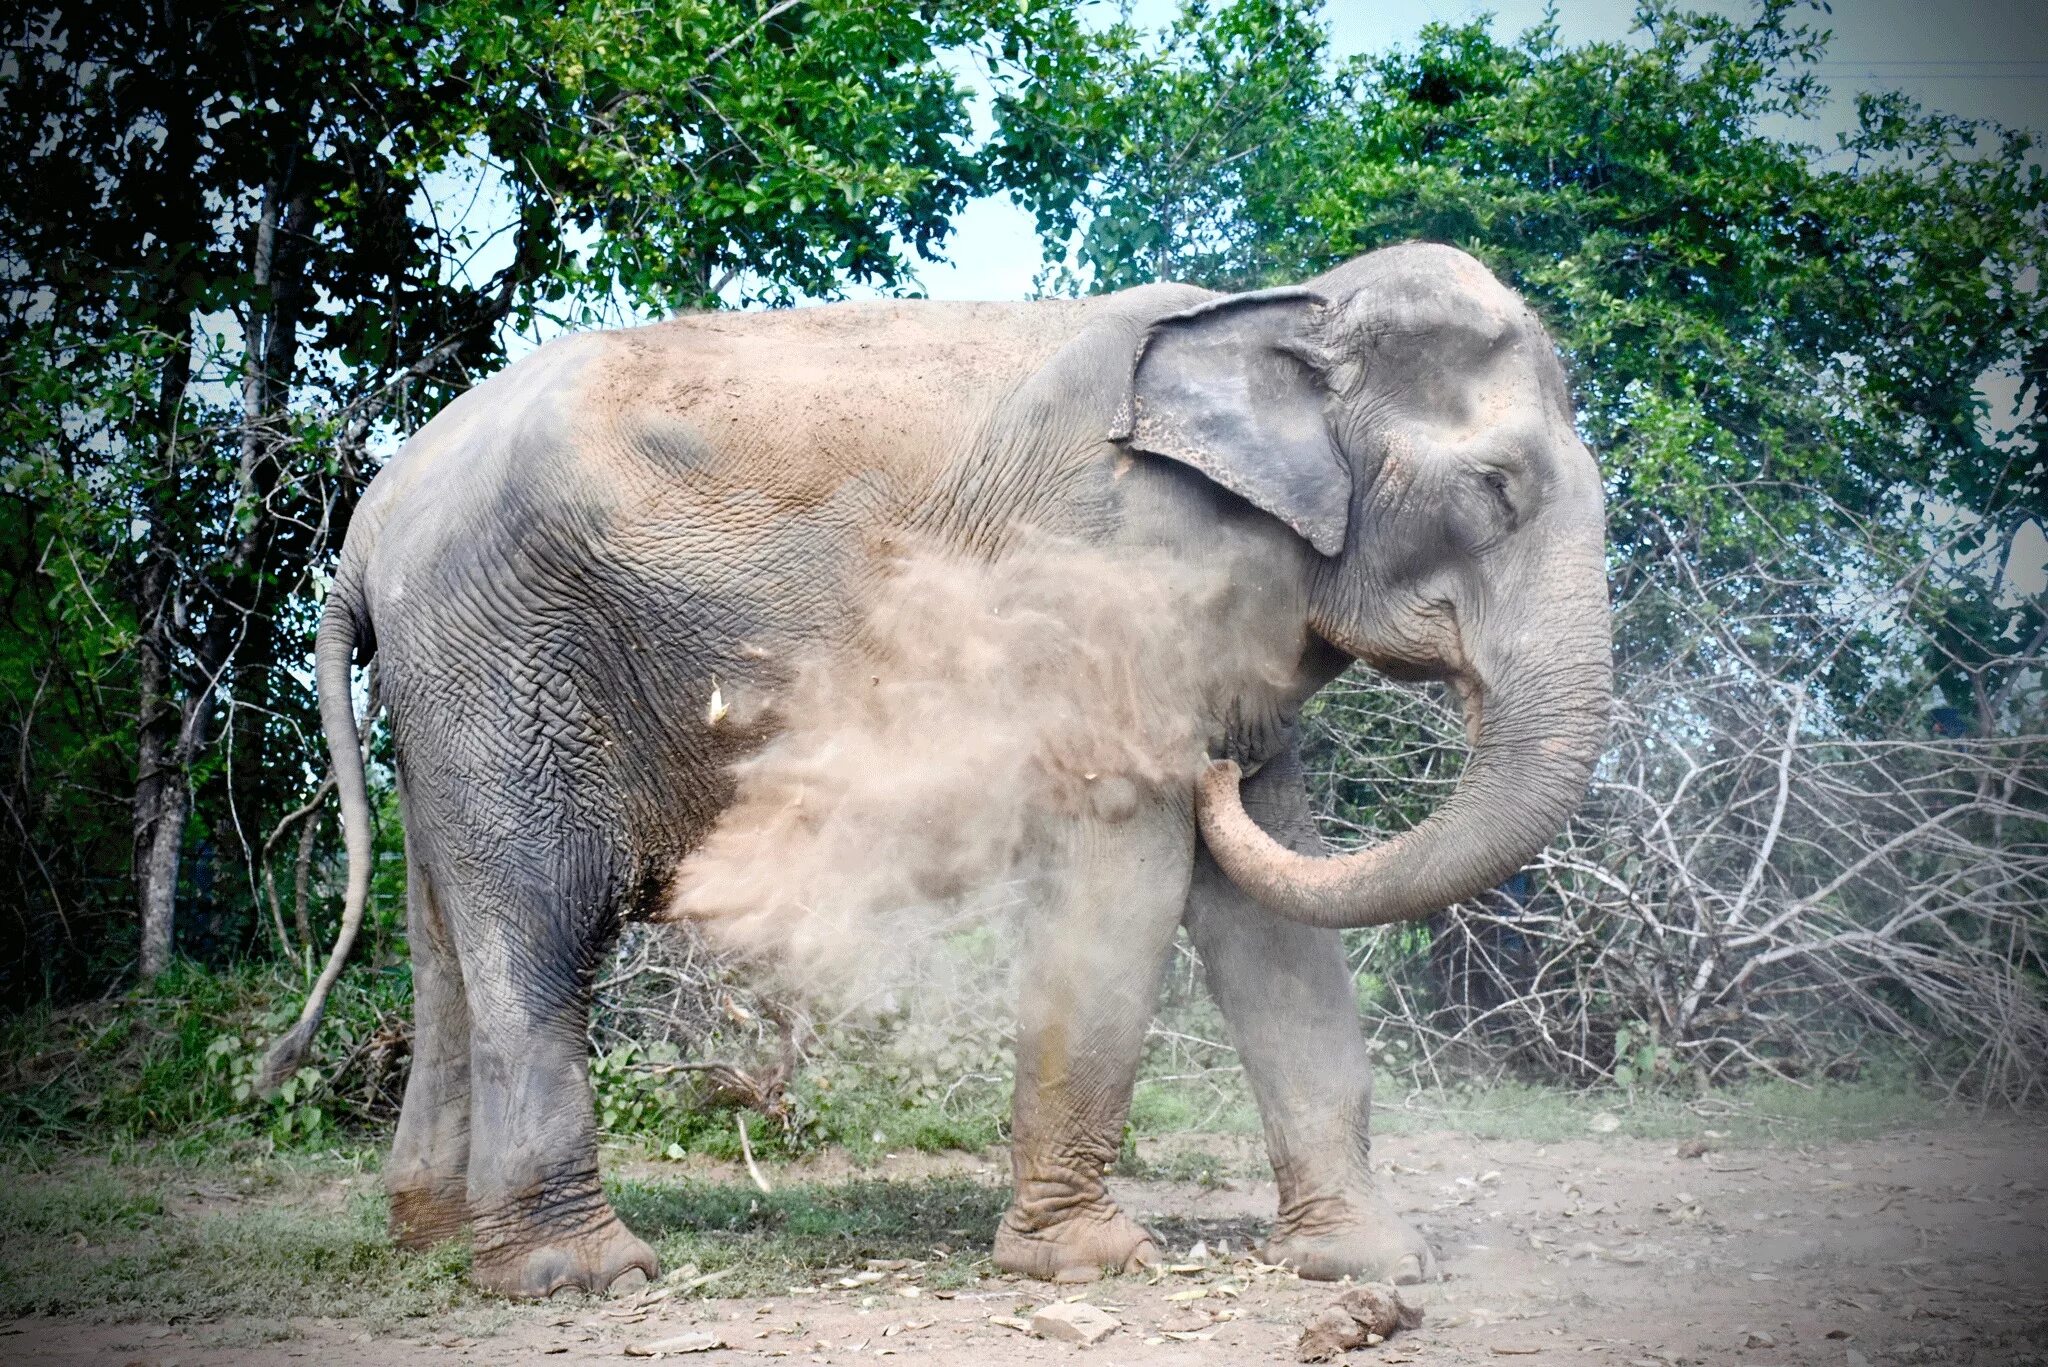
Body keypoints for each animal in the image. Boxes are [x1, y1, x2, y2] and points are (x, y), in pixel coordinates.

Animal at [268, 240, 1613, 1303]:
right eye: (1494, 490)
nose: (1214, 774)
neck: (1283, 305)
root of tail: (368, 524)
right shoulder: (1110, 573)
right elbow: (1123, 876)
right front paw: (1091, 1263)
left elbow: (1266, 915)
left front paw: (1370, 1263)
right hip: (505, 664)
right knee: (539, 929)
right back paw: (579, 1274)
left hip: (453, 688)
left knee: (445, 938)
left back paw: (435, 1239)